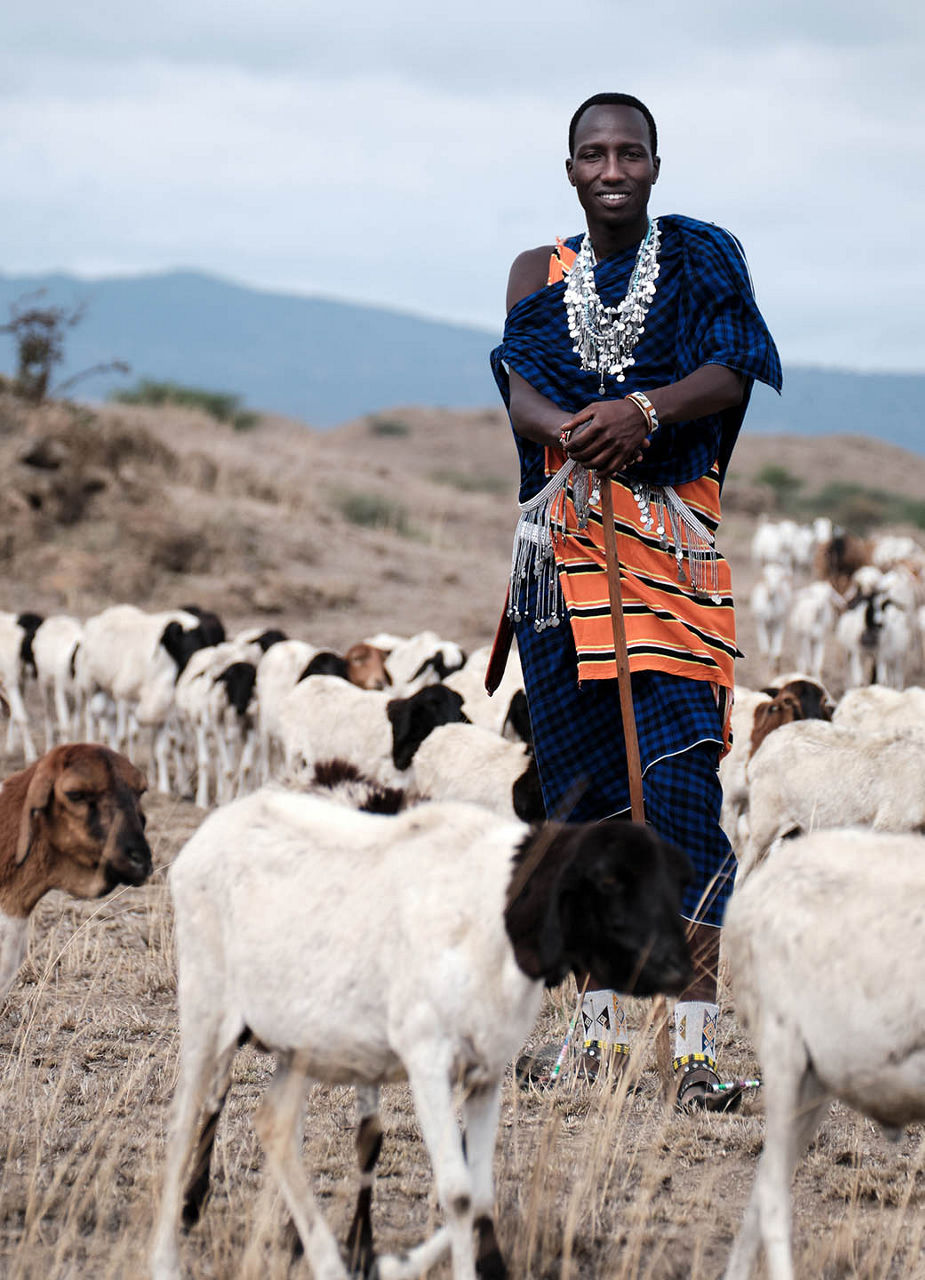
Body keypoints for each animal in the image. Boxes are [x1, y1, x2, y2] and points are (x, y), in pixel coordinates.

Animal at [32, 611, 84, 747]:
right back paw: (50, 744)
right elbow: (65, 727)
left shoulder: (80, 698)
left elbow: (76, 726)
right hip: (44, 685)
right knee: (48, 714)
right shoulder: (60, 692)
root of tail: (57, 618)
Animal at [148, 788, 690, 1280]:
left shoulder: (486, 1073)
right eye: (608, 879)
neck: (492, 919)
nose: (676, 970)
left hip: (299, 1042)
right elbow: (458, 1194)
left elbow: (482, 1195)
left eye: (674, 881)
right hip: (206, 1010)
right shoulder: (427, 1061)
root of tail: (208, 835)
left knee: (274, 1124)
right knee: (181, 1123)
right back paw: (166, 1262)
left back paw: (331, 1266)